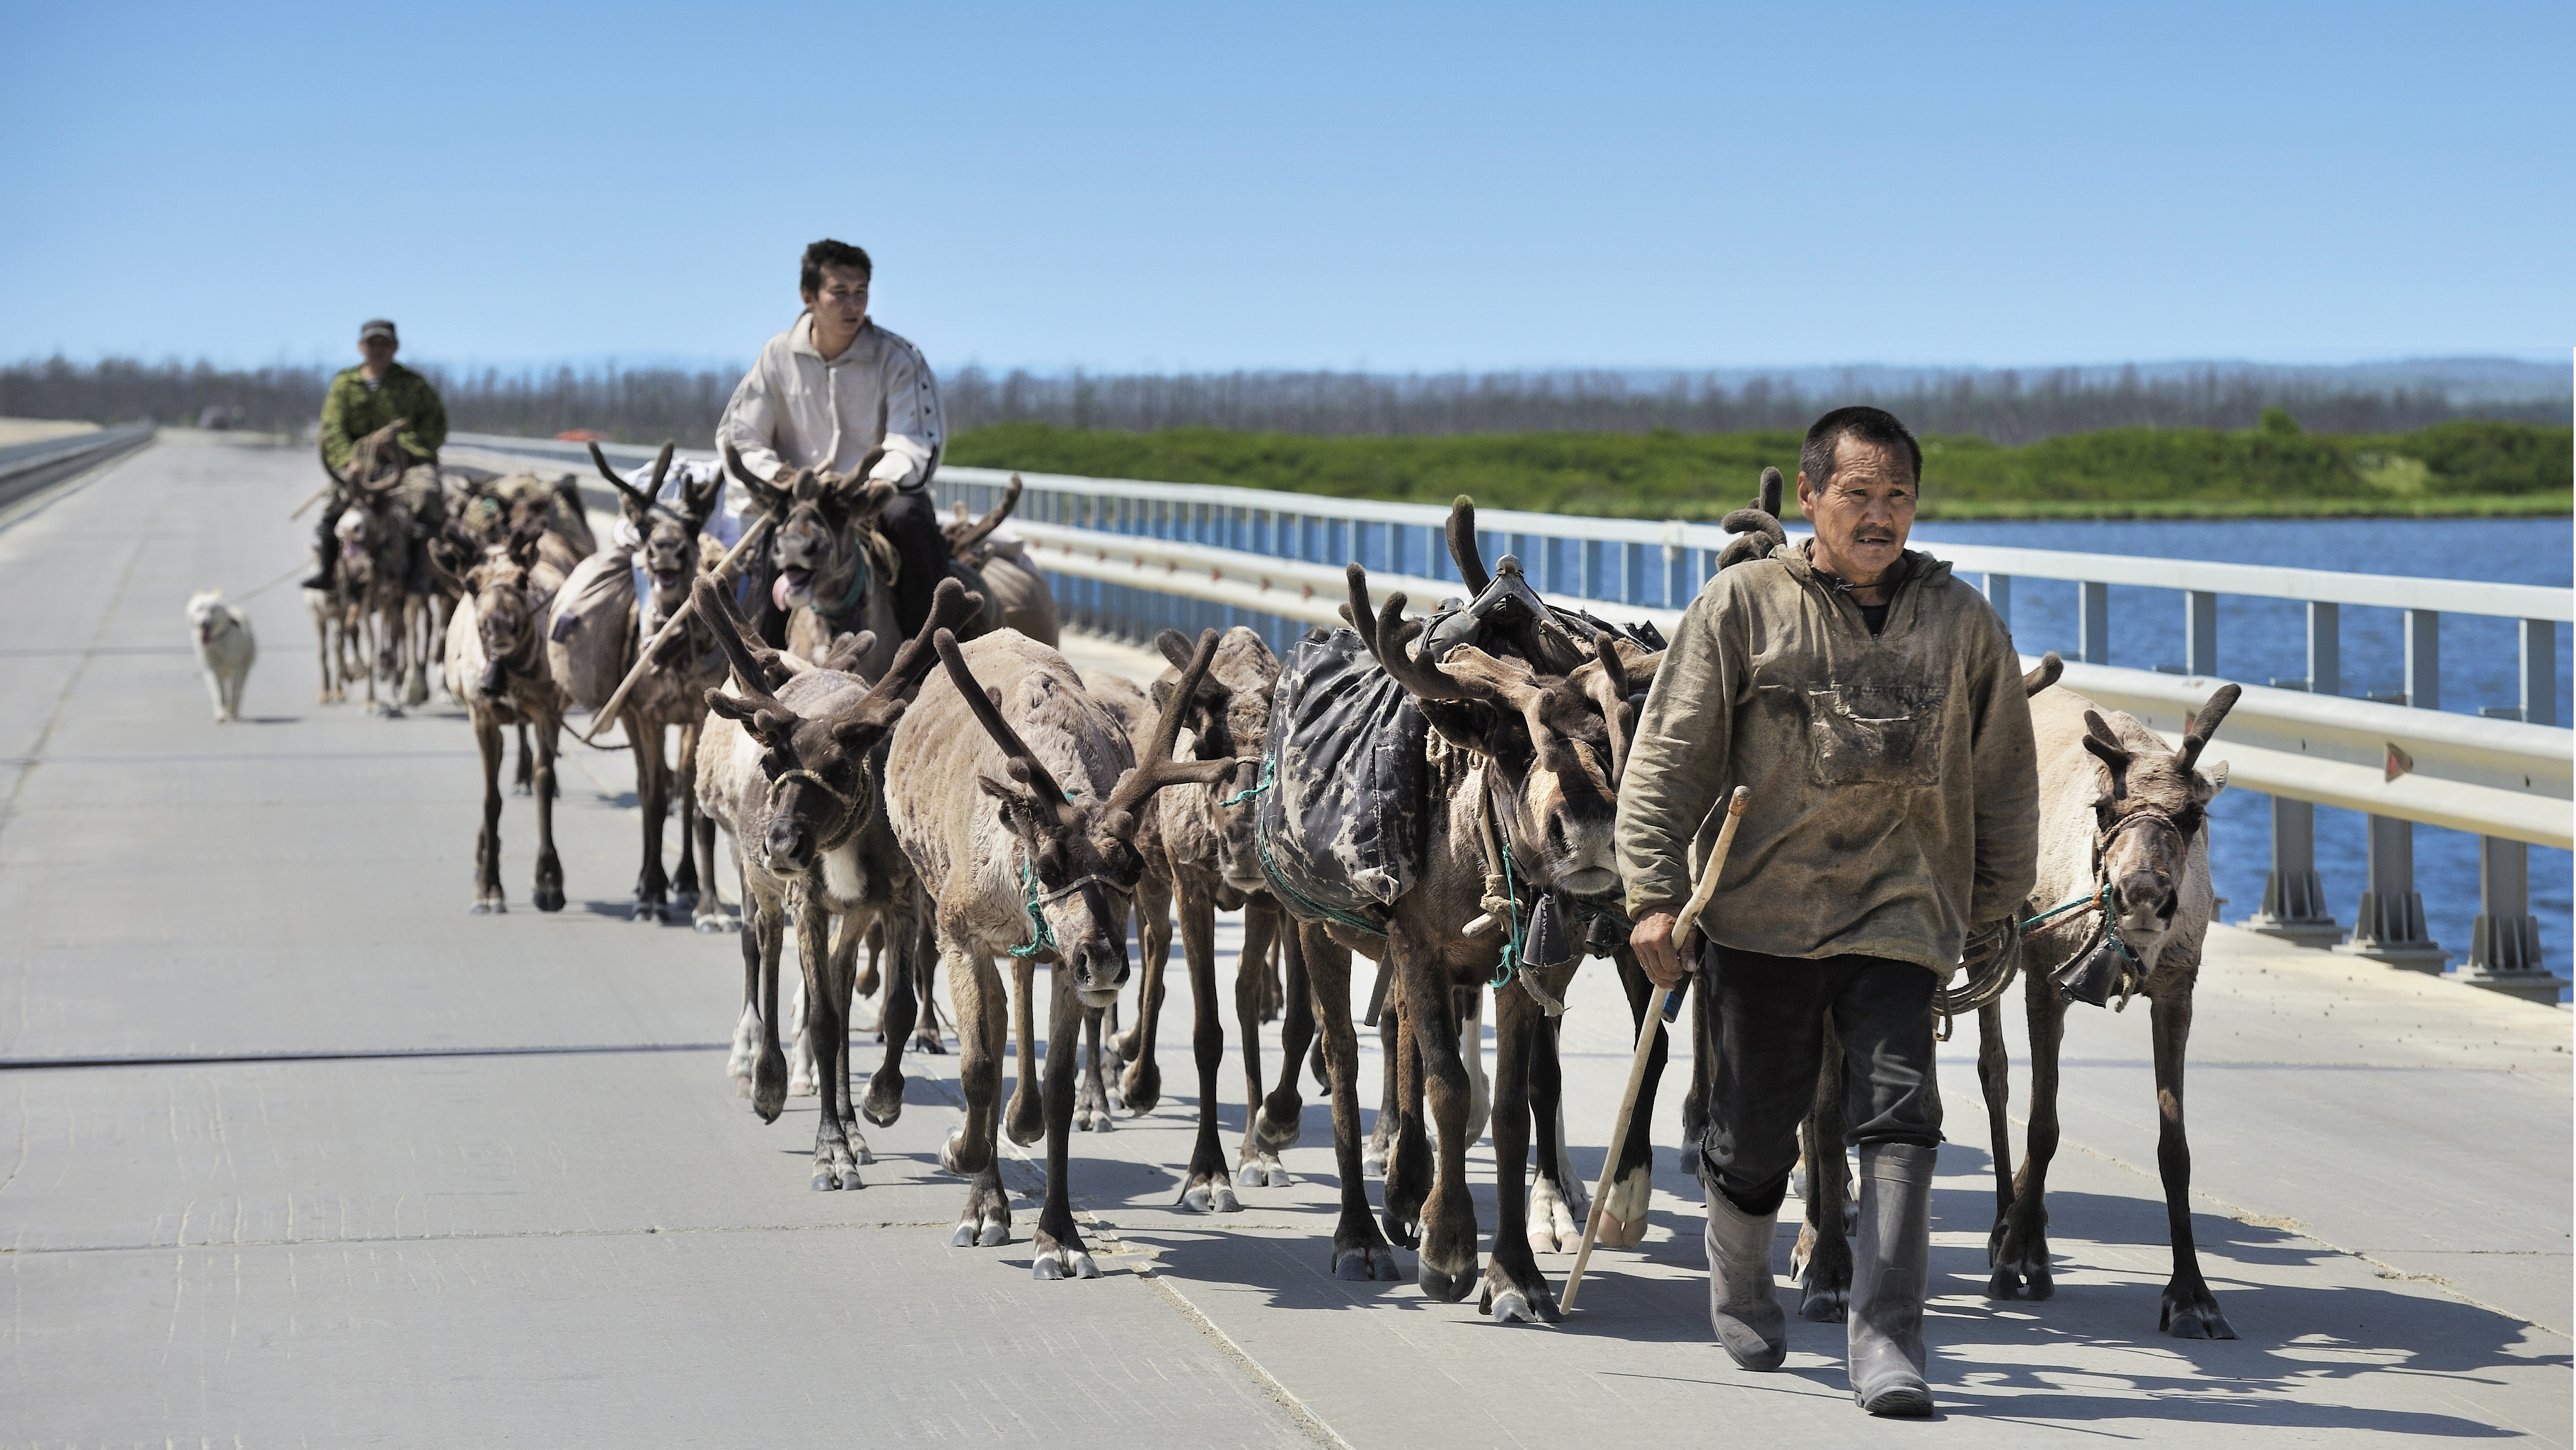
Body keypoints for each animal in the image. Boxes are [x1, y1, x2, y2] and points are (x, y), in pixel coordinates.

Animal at [184, 590, 253, 726]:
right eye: (200, 609)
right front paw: (221, 715)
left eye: (212, 610)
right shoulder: (212, 668)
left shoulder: (236, 666)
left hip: (244, 667)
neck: (217, 641)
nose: (204, 623)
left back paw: (234, 711)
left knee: (238, 690)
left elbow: (234, 692)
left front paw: (232, 712)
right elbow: (219, 693)